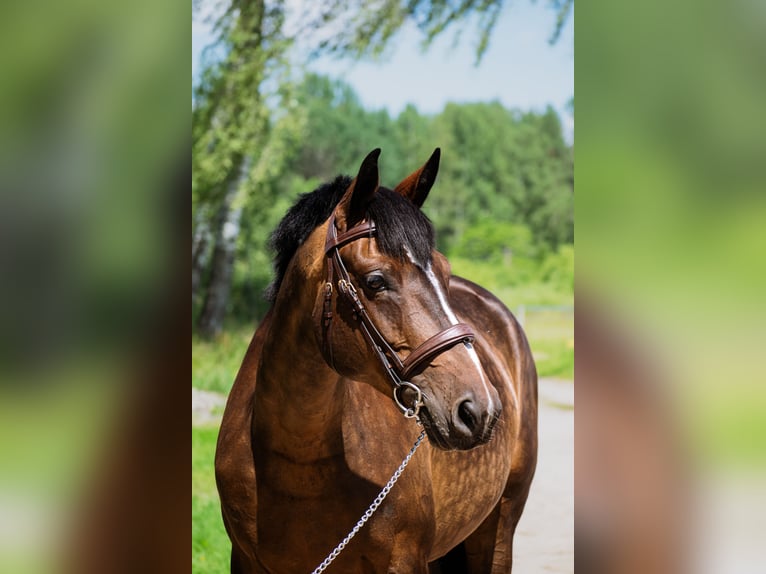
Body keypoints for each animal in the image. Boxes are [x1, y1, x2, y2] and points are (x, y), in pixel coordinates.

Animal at [215, 148, 538, 573]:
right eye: (375, 281)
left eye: (445, 273)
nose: (478, 409)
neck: (298, 460)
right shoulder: (245, 560)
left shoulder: (405, 561)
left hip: (499, 528)